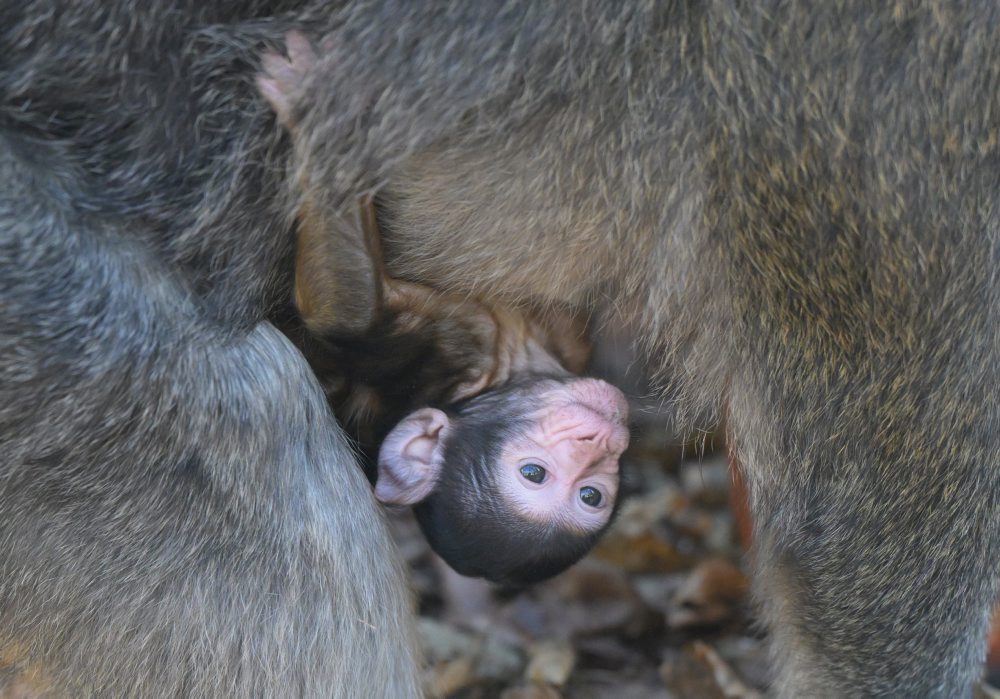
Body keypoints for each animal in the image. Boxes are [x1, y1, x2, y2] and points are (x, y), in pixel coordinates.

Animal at [262, 35, 628, 588]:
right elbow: (346, 316)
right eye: (535, 474)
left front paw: (316, 107)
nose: (600, 440)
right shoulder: (469, 340)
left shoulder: (463, 339)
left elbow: (344, 315)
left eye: (591, 495)